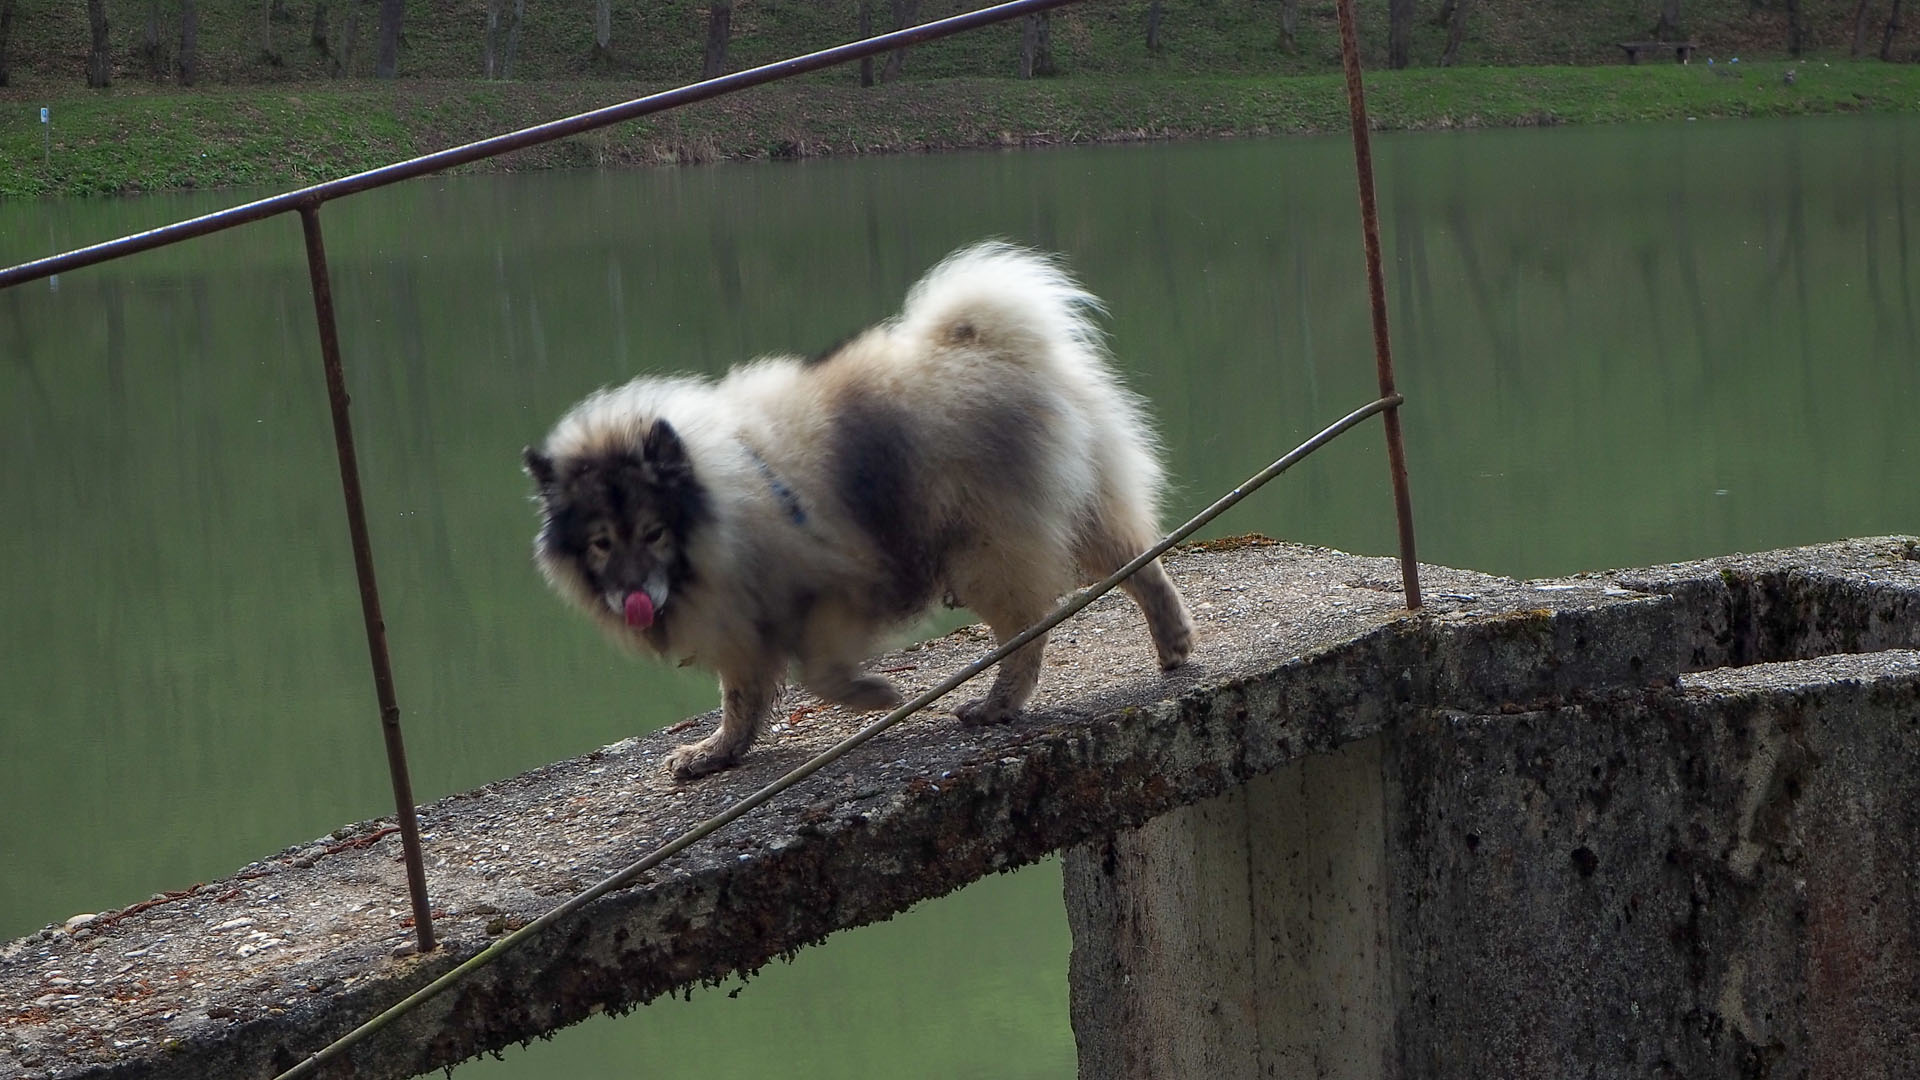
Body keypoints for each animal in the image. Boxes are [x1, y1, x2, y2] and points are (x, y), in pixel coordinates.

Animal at [522, 240, 1182, 776]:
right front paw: (718, 752)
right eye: (601, 544)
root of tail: (999, 347)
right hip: (1083, 508)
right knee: (1138, 565)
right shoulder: (742, 618)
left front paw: (874, 696)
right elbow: (740, 696)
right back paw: (1174, 642)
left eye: (654, 533)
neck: (720, 498)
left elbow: (816, 670)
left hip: (983, 547)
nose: (632, 596)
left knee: (1026, 632)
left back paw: (998, 704)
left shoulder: (835, 584)